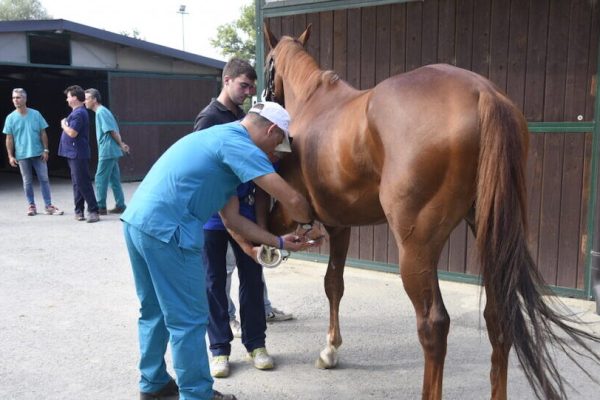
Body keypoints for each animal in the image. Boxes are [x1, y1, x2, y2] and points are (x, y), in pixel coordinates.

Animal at [264, 25, 596, 400]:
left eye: (268, 63)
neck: (315, 103)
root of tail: (483, 93)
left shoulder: (319, 222)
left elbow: (329, 283)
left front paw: (329, 349)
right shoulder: (341, 224)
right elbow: (335, 283)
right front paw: (331, 348)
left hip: (416, 249)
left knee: (434, 325)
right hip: (491, 235)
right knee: (499, 318)